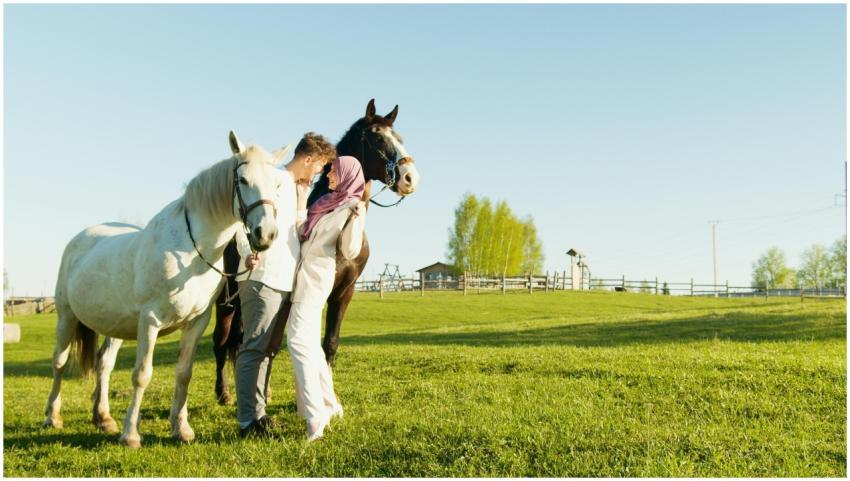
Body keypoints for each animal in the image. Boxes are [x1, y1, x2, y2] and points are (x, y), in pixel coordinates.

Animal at [45, 131, 289, 448]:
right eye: (243, 180)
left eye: (277, 185)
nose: (266, 234)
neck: (190, 251)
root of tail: (80, 239)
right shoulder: (150, 320)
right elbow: (142, 375)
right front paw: (131, 435)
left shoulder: (197, 322)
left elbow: (184, 373)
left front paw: (181, 429)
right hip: (67, 317)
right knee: (60, 363)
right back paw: (53, 416)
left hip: (116, 326)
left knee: (104, 364)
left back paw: (103, 418)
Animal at [212, 99, 420, 405]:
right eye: (377, 137)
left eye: (400, 138)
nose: (409, 178)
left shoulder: (344, 292)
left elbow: (329, 343)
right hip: (226, 300)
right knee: (222, 339)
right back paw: (225, 393)